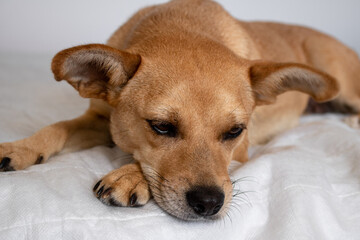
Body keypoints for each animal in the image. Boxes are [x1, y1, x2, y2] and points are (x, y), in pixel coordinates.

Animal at [0, 0, 360, 221]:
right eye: (161, 126)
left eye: (235, 132)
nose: (209, 204)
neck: (183, 25)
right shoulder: (100, 120)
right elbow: (57, 127)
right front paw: (21, 148)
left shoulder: (243, 150)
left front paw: (131, 175)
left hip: (343, 84)